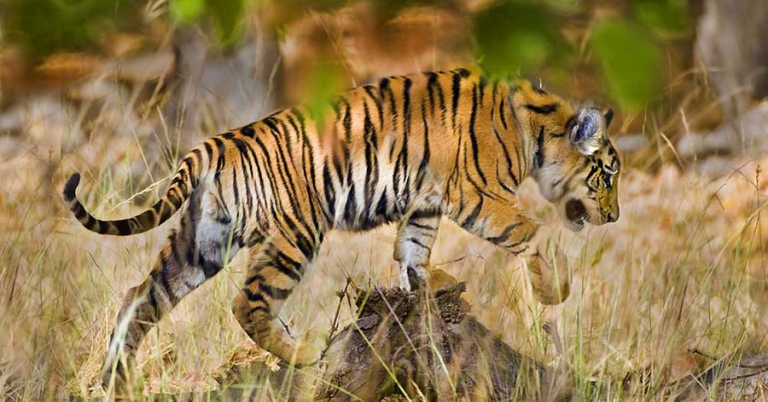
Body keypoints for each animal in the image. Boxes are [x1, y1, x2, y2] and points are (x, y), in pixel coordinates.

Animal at [63, 68, 620, 391]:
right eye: (609, 175)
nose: (614, 216)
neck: (536, 132)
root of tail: (214, 145)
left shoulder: (426, 203)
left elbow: (412, 251)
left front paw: (431, 288)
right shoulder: (475, 195)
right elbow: (534, 232)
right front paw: (554, 290)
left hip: (202, 242)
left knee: (138, 297)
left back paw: (115, 381)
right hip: (295, 234)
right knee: (247, 303)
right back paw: (306, 353)